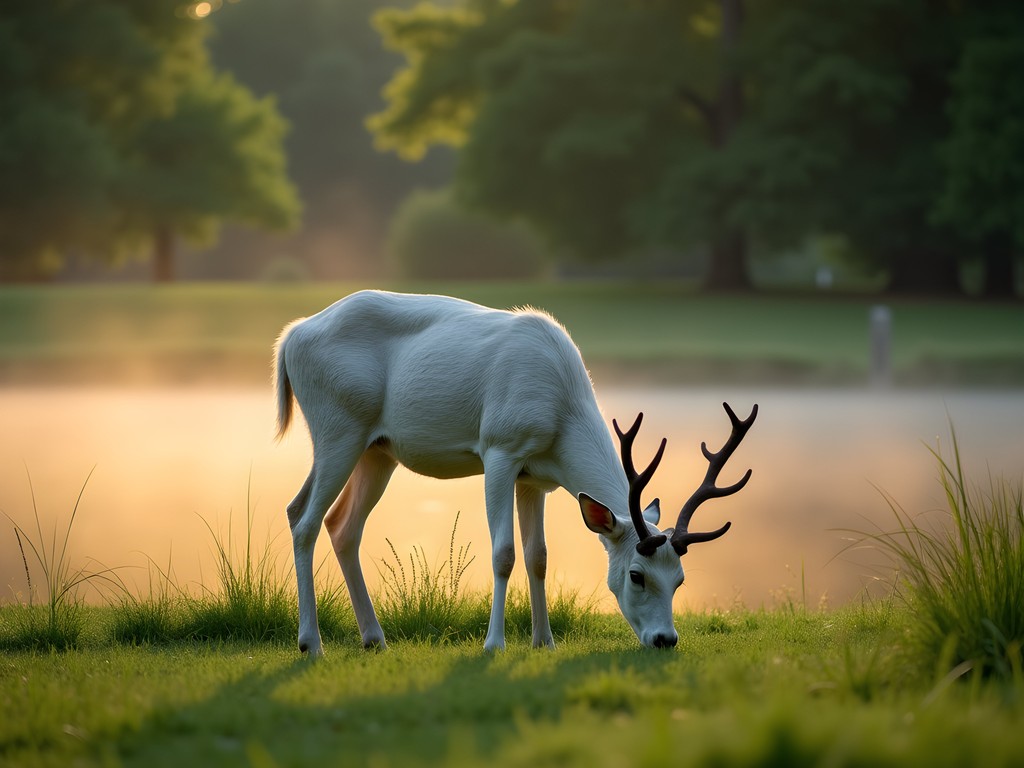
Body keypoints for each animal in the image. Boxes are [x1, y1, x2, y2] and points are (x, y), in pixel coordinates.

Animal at [273, 290, 757, 654]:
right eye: (637, 575)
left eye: (680, 578)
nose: (665, 639)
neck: (560, 417)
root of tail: (291, 336)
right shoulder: (500, 448)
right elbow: (504, 552)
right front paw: (494, 644)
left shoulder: (535, 478)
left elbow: (538, 556)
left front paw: (545, 642)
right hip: (338, 426)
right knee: (305, 518)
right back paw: (311, 643)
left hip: (377, 450)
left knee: (338, 523)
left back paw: (374, 639)